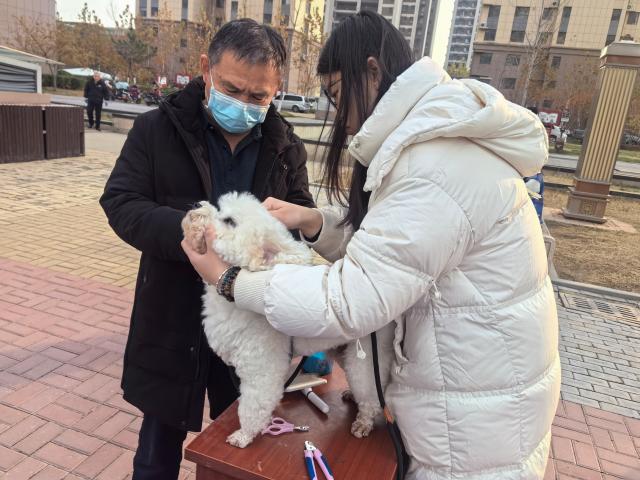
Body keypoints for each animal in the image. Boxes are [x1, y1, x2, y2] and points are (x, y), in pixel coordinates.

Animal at [182, 192, 395, 448]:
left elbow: (253, 406)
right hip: (345, 349)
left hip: (369, 355)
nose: (196, 205)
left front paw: (244, 435)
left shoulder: (262, 369)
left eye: (230, 221)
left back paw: (364, 422)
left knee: (371, 390)